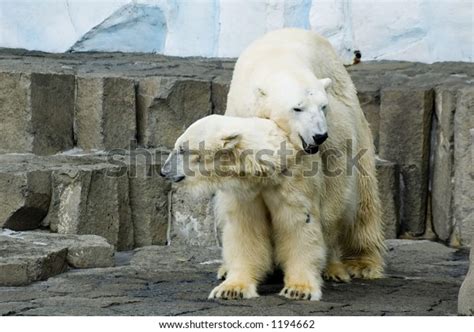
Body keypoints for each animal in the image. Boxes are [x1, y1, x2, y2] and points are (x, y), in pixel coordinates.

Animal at [161, 114, 328, 300]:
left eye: (183, 149)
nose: (164, 171)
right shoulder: (245, 192)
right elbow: (246, 230)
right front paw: (231, 289)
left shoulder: (293, 179)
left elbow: (298, 224)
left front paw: (299, 290)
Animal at [216, 28, 386, 296]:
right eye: (297, 108)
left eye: (323, 106)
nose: (319, 135)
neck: (279, 60)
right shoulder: (243, 118)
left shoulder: (335, 129)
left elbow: (332, 190)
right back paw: (225, 268)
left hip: (356, 118)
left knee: (364, 201)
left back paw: (359, 264)